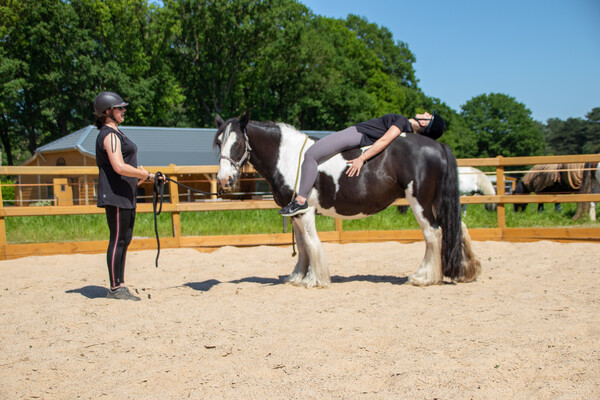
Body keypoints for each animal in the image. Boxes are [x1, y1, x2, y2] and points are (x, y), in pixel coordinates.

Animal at [213, 111, 480, 288]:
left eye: (238, 143)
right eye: (218, 142)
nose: (224, 179)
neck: (288, 157)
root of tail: (438, 145)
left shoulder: (305, 211)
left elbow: (310, 242)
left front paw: (314, 279)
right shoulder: (294, 213)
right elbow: (302, 246)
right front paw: (297, 277)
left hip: (420, 202)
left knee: (433, 233)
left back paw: (423, 277)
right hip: (437, 202)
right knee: (456, 227)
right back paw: (467, 271)